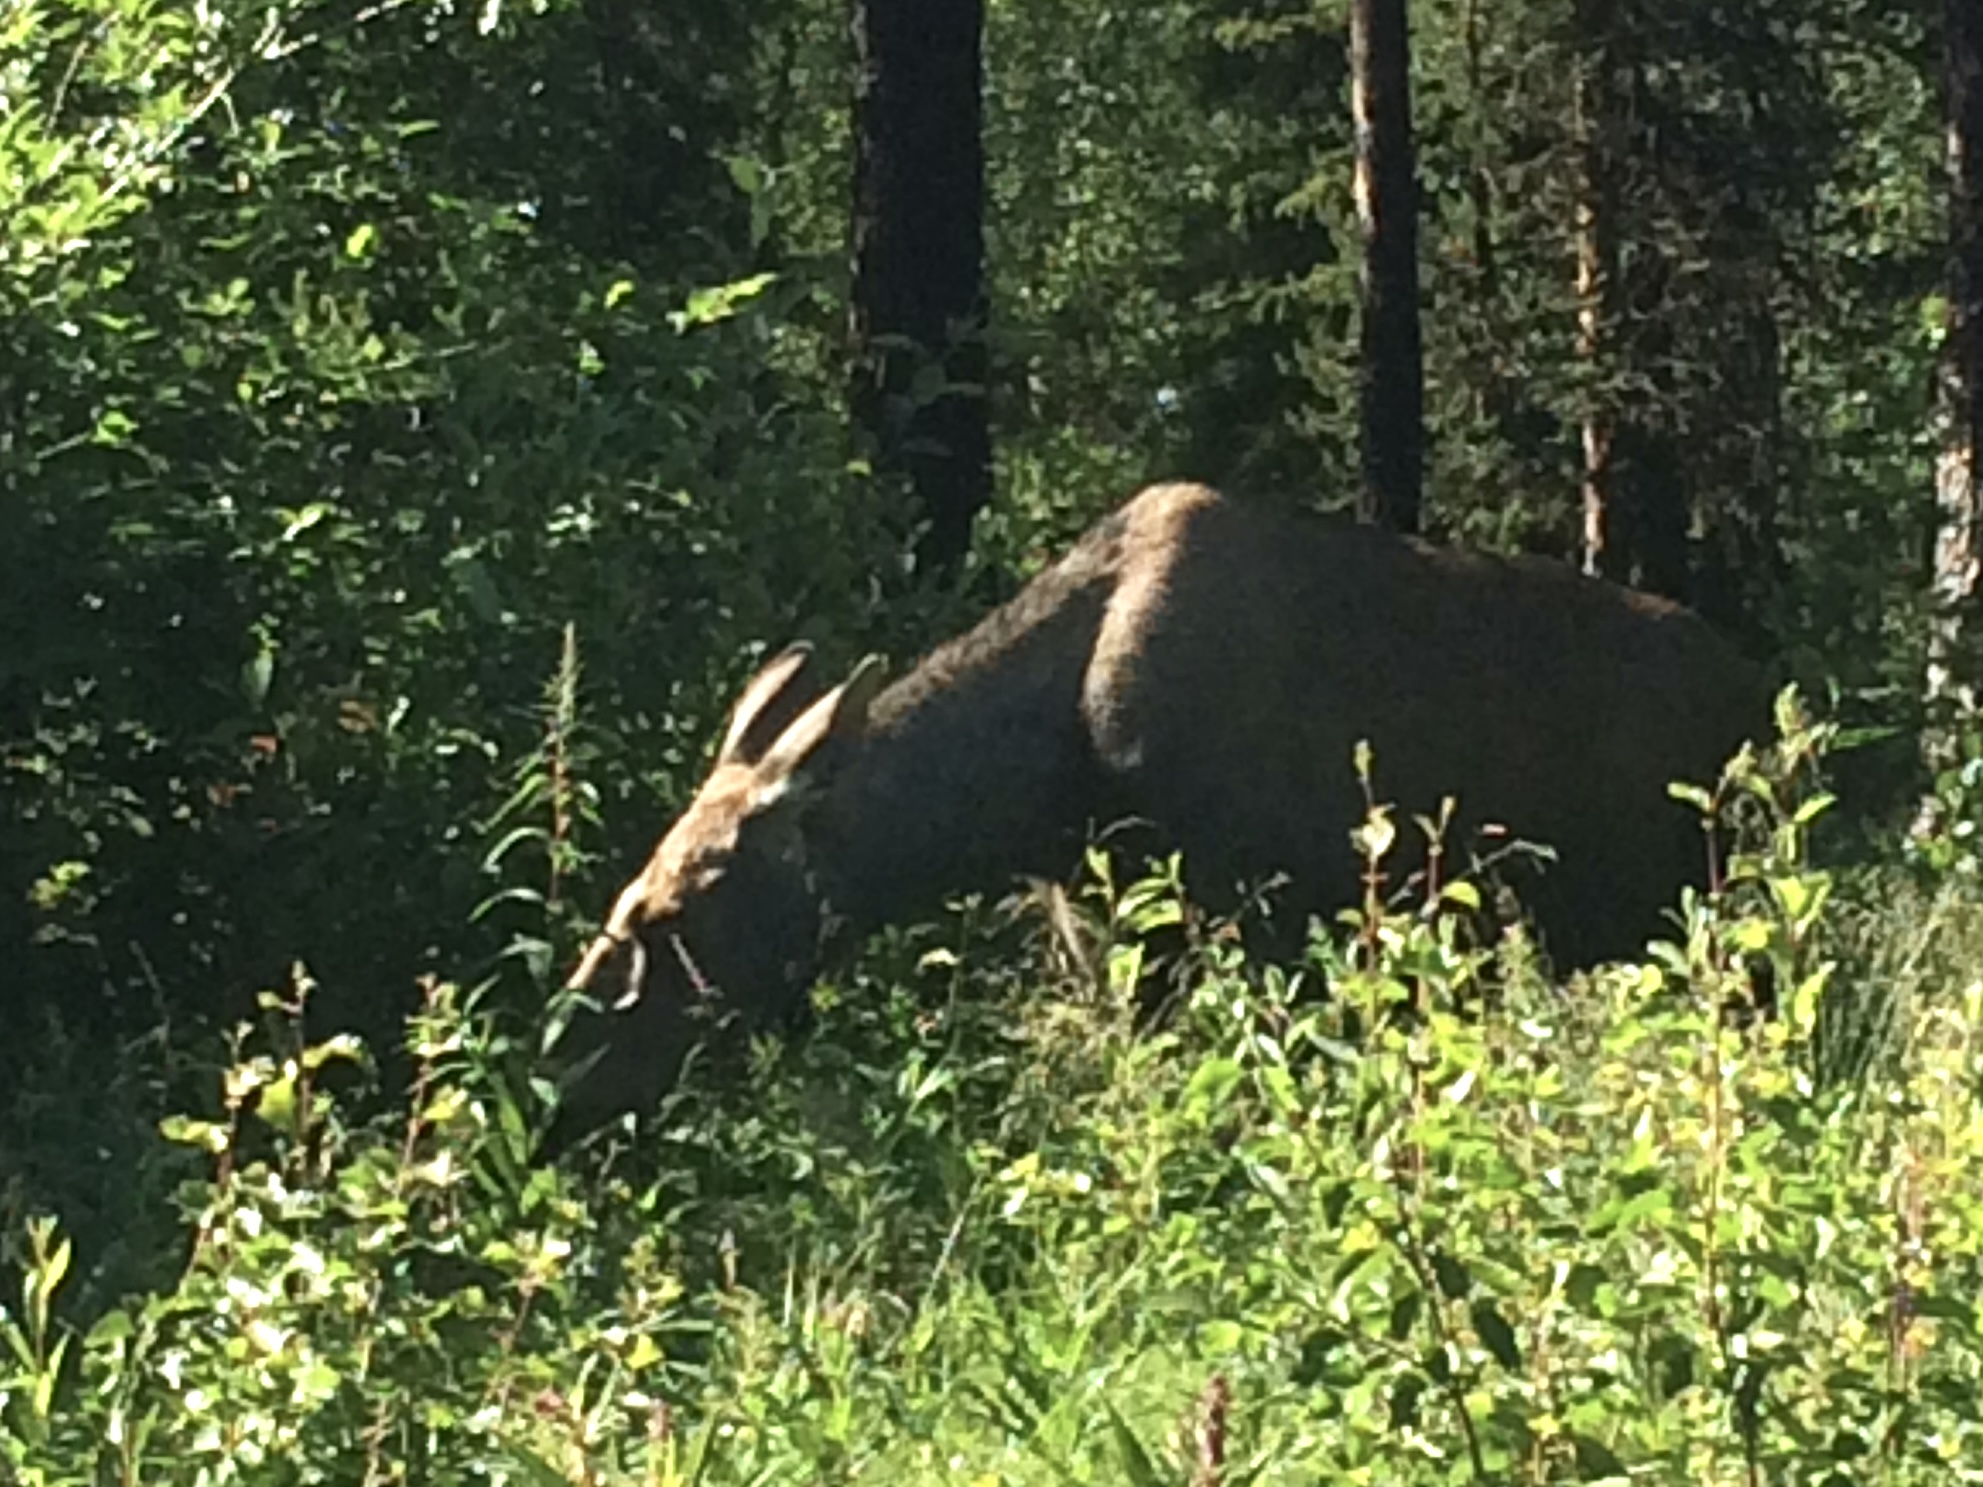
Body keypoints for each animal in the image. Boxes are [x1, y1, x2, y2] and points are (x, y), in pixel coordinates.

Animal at [543, 483, 1768, 1149]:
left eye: (671, 908)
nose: (564, 1062)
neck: (1040, 782)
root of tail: (1764, 691)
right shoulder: (1111, 938)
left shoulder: (1260, 916)